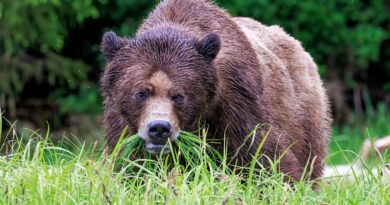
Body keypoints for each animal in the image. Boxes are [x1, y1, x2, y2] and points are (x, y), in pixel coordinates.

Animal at [99, 0, 330, 182]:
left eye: (179, 96)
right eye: (141, 93)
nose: (159, 128)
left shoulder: (237, 101)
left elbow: (264, 156)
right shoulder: (121, 122)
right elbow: (130, 163)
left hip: (304, 113)